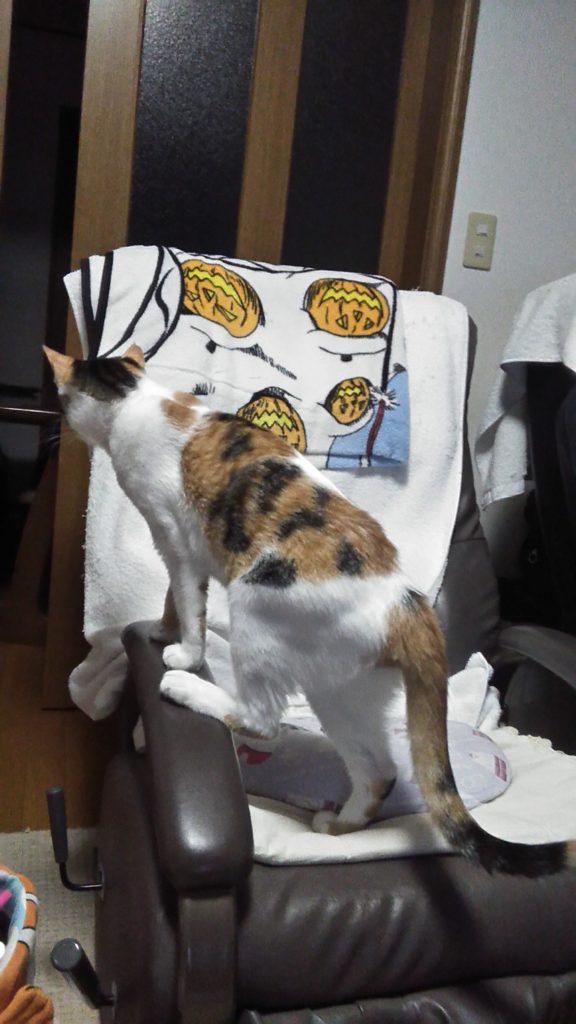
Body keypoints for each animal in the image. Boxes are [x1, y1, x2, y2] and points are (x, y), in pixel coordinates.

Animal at [45, 342, 575, 876]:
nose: (60, 424)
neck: (136, 397)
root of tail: (410, 608)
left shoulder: (175, 541)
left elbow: (187, 604)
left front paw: (180, 651)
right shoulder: (182, 548)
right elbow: (172, 599)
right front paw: (159, 628)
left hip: (256, 608)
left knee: (264, 723)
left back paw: (187, 688)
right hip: (341, 694)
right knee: (379, 771)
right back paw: (339, 824)